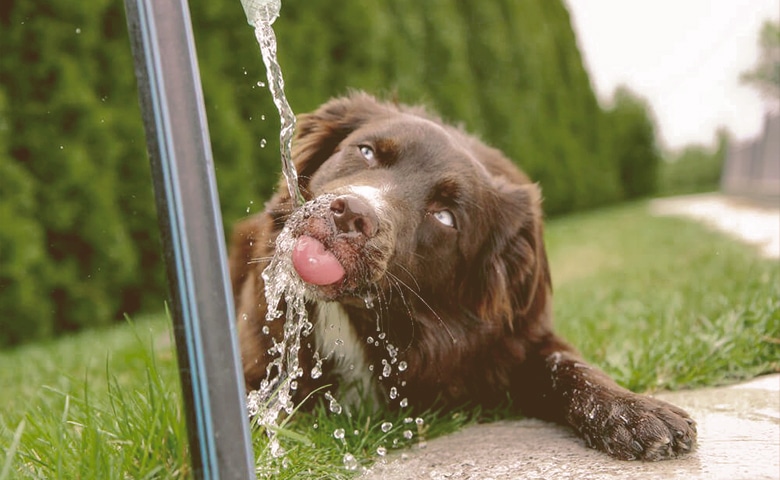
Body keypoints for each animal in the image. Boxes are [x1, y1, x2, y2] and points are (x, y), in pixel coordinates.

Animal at [229, 92, 696, 460]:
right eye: (366, 152)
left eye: (446, 217)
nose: (352, 215)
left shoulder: (518, 339)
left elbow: (570, 367)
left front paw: (635, 411)